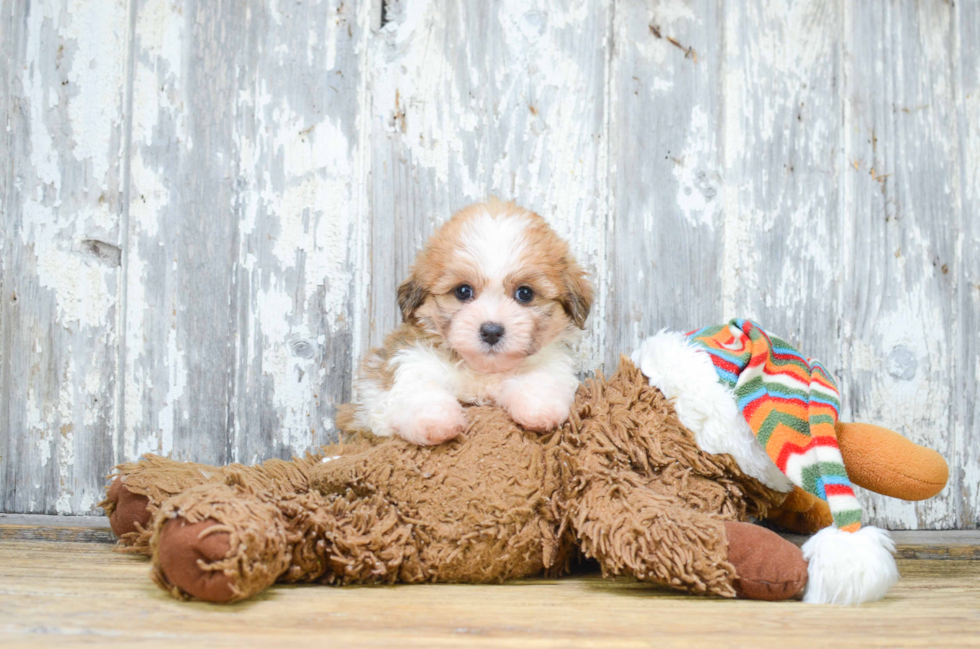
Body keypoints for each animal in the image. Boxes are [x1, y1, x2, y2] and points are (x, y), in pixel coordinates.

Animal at [340, 199, 592, 446]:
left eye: (525, 294)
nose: (491, 331)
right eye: (463, 291)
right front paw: (436, 421)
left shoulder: (550, 360)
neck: (482, 370)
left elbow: (542, 378)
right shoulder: (409, 361)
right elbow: (418, 389)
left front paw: (539, 409)